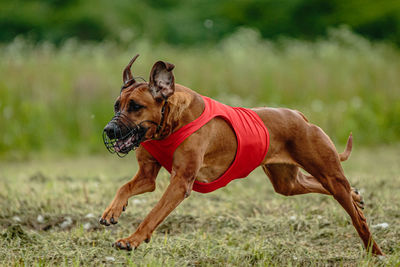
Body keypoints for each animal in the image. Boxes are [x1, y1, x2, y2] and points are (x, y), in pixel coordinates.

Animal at [99, 55, 382, 255]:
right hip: (287, 182)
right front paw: (112, 211)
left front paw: (132, 240)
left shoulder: (181, 182)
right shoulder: (147, 176)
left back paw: (375, 251)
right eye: (116, 105)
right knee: (311, 185)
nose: (109, 130)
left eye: (136, 106)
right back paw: (357, 196)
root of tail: (300, 116)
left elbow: (153, 213)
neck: (169, 124)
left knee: (357, 220)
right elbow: (125, 187)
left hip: (330, 175)